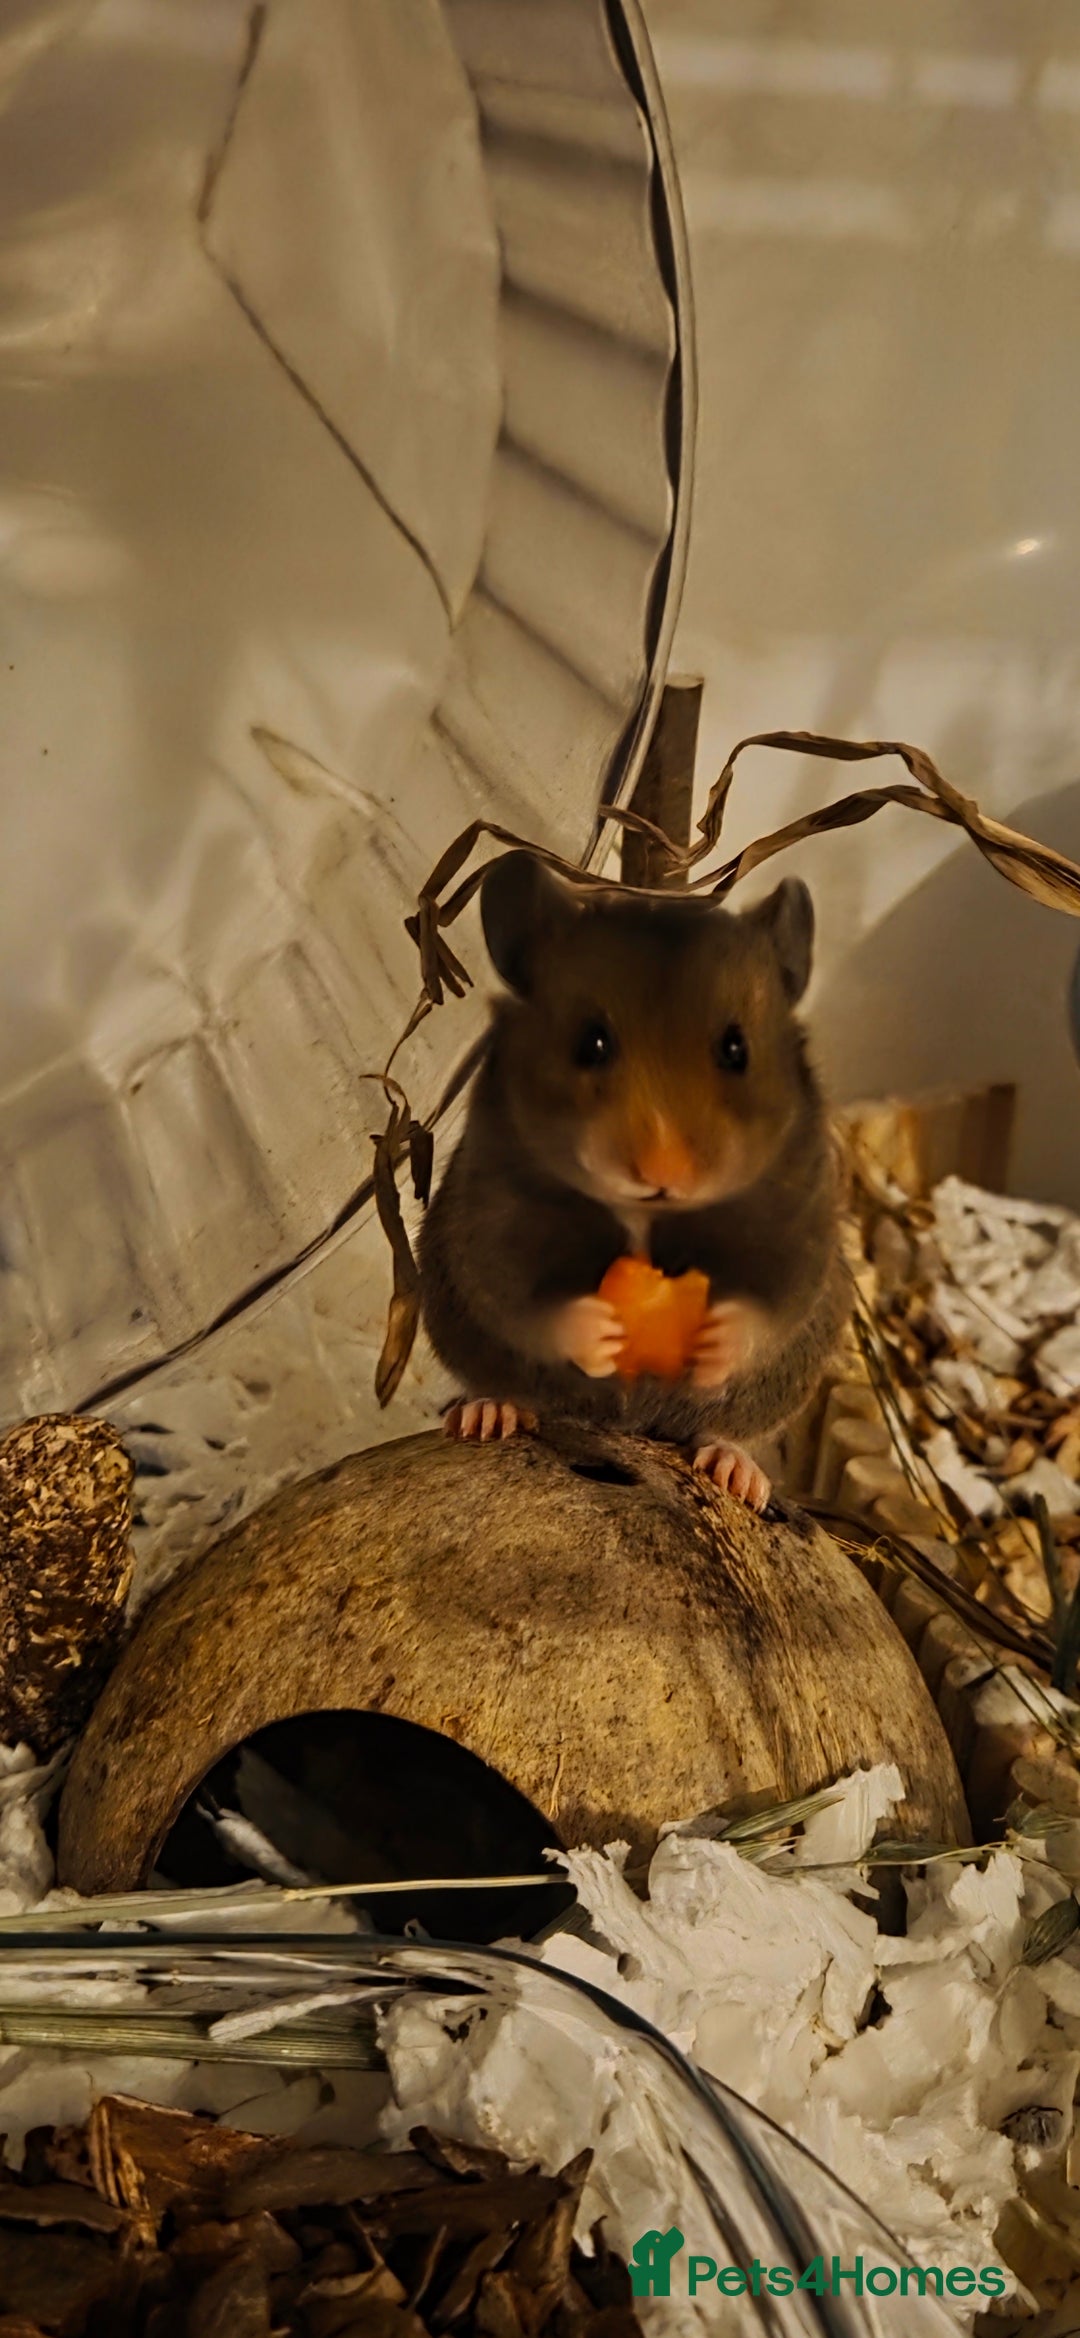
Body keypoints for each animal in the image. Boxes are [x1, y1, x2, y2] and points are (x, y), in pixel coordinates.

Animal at [418, 851, 849, 1509]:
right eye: (591, 1043)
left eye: (736, 1049)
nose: (662, 1173)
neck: (650, 1214)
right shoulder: (493, 1215)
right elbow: (531, 1302)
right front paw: (601, 1332)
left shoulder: (798, 1223)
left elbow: (766, 1306)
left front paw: (714, 1341)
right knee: (503, 1384)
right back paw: (485, 1417)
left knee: (725, 1431)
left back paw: (737, 1476)